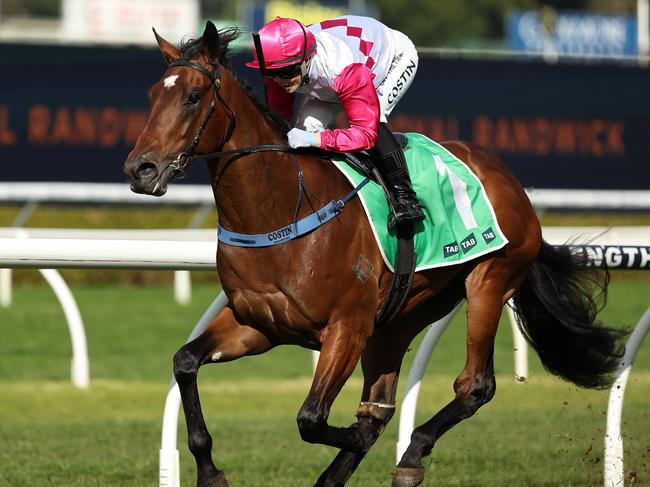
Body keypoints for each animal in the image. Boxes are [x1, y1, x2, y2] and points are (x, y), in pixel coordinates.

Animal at [121, 22, 624, 487]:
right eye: (152, 94)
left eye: (193, 96)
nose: (139, 169)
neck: (279, 210)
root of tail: (507, 178)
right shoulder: (258, 324)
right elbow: (185, 362)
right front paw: (210, 471)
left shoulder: (347, 327)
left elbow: (312, 418)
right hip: (401, 317)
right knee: (381, 403)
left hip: (489, 280)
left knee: (473, 385)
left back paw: (412, 454)